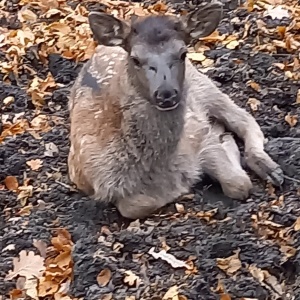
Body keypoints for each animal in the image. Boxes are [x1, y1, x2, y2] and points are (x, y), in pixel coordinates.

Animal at [67, 1, 284, 219]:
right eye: (135, 59)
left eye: (183, 53)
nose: (166, 93)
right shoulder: (83, 176)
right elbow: (136, 205)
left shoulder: (198, 132)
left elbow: (239, 184)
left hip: (202, 84)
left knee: (244, 119)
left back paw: (270, 169)